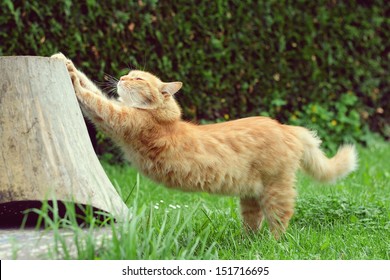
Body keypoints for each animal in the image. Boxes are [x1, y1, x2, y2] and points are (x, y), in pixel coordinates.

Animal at [53, 53, 358, 238]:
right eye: (129, 73)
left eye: (138, 78)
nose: (123, 78)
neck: (165, 118)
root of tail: (286, 127)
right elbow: (91, 86)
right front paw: (65, 61)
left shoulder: (117, 119)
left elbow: (92, 97)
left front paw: (69, 72)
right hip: (251, 197)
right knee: (253, 225)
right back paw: (247, 243)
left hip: (276, 190)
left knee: (280, 222)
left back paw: (273, 244)